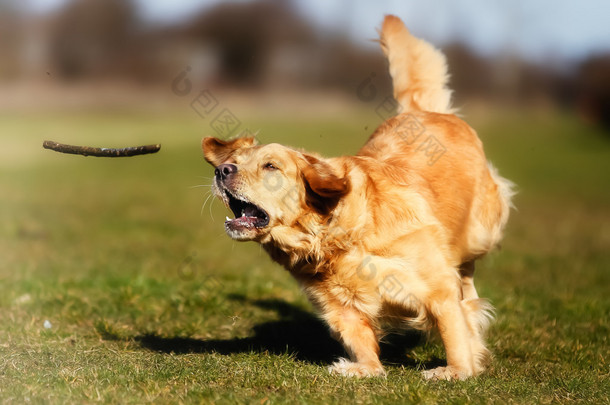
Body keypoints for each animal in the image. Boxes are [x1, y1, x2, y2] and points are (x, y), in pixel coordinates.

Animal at [202, 13, 510, 378]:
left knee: (468, 273)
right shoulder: (339, 306)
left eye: (270, 166)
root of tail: (422, 110)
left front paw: (456, 370)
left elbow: (454, 328)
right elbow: (362, 341)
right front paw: (363, 368)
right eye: (235, 161)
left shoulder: (437, 285)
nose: (223, 170)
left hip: (479, 231)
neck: (335, 235)